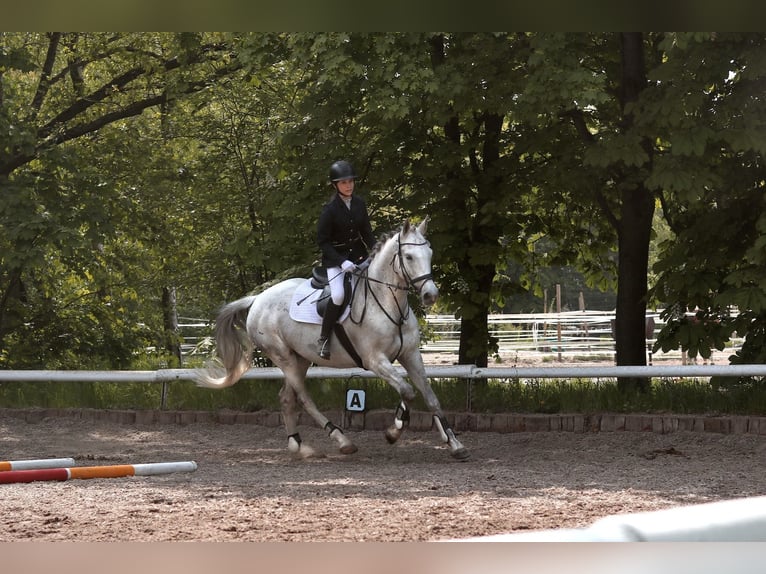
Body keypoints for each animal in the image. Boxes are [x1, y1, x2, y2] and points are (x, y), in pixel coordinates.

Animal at [195, 218, 472, 462]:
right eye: (409, 257)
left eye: (430, 253)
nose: (430, 295)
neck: (388, 303)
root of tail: (258, 299)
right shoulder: (375, 360)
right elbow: (407, 391)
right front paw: (393, 432)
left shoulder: (411, 355)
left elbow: (429, 396)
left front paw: (455, 445)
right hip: (283, 357)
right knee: (304, 398)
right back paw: (342, 441)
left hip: (300, 358)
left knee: (287, 397)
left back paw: (300, 447)